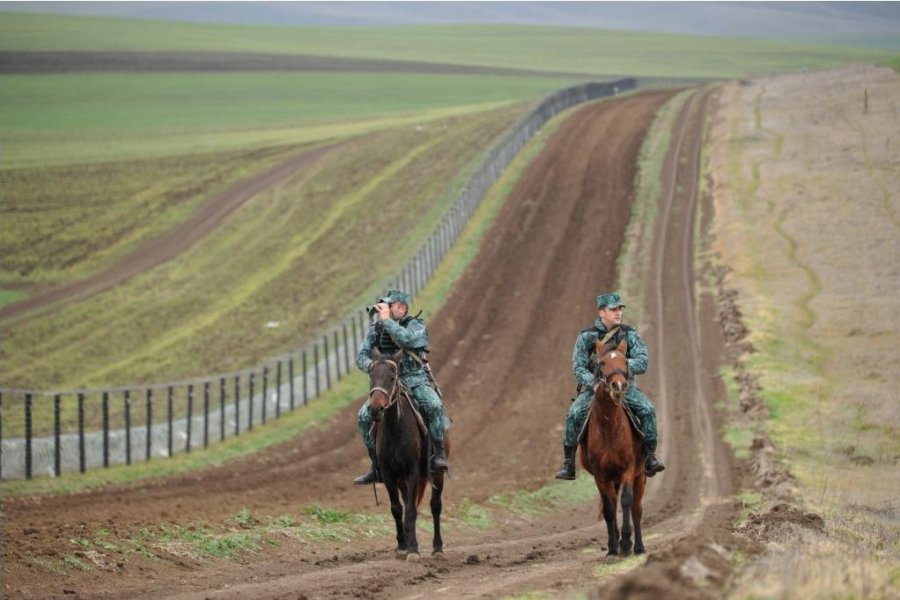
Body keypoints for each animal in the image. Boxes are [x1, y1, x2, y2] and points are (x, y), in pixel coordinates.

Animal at [368, 350, 448, 560]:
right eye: (371, 375)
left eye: (392, 377)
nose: (376, 408)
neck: (395, 430)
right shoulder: (389, 475)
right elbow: (397, 509)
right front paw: (403, 545)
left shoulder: (413, 473)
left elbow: (411, 510)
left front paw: (413, 549)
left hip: (436, 474)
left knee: (435, 505)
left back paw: (438, 547)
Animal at [576, 340, 648, 556]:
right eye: (601, 363)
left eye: (626, 361)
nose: (618, 386)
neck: (609, 427)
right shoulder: (600, 475)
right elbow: (609, 509)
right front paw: (613, 547)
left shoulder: (628, 469)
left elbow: (626, 501)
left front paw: (625, 542)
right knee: (613, 503)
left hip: (640, 476)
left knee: (636, 508)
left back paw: (638, 546)